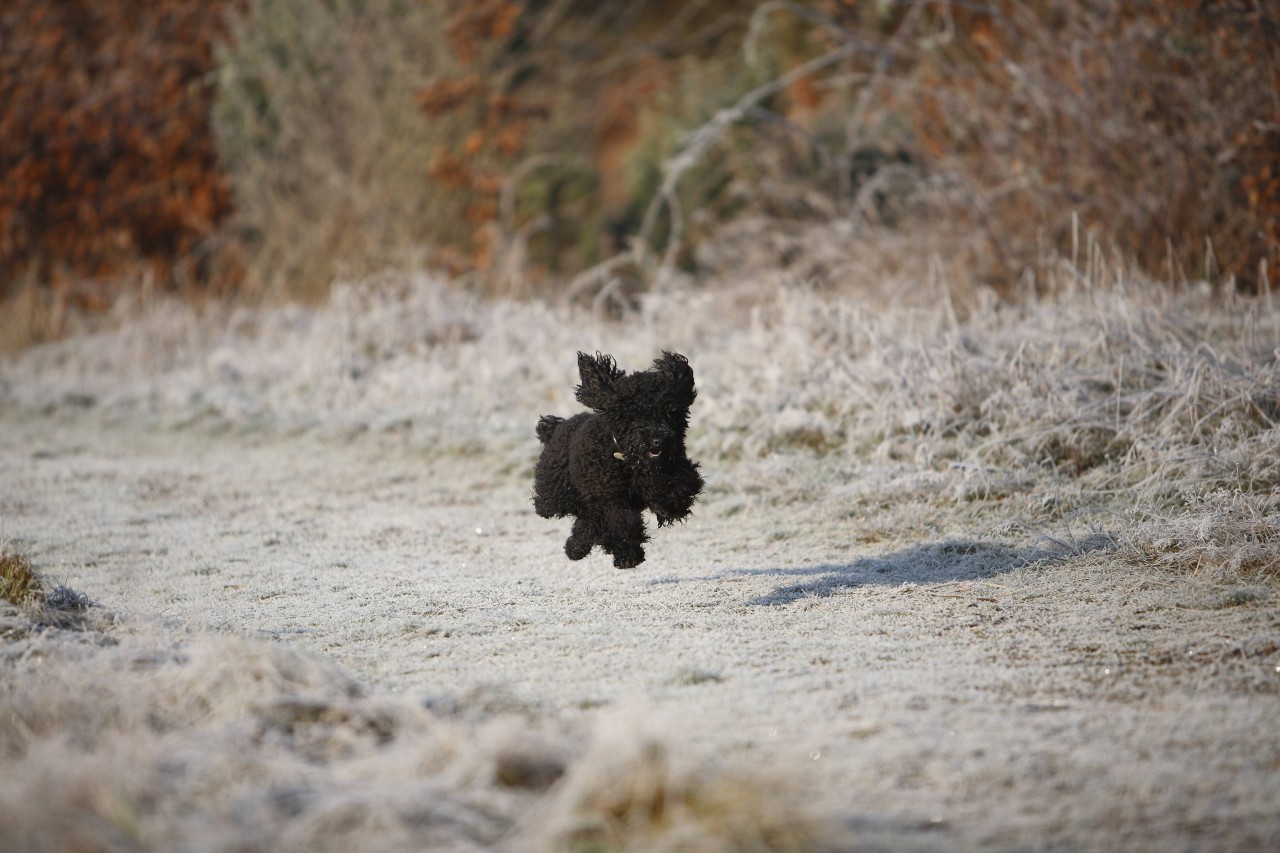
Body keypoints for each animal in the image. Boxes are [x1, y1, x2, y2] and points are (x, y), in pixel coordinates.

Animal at [535, 348, 706, 568]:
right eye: (634, 416)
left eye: (669, 413)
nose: (657, 441)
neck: (630, 461)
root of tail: (560, 426)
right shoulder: (610, 497)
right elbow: (621, 523)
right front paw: (628, 555)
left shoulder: (673, 470)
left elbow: (676, 488)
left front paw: (667, 503)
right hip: (557, 494)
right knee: (555, 508)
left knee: (586, 522)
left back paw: (576, 548)